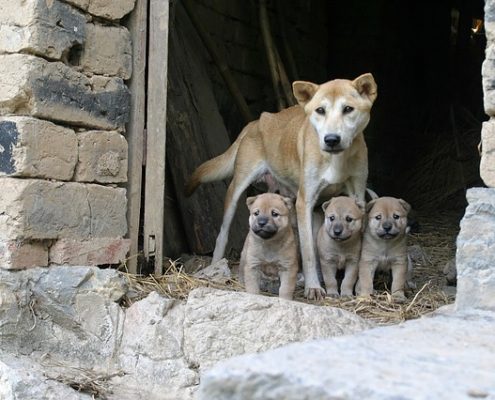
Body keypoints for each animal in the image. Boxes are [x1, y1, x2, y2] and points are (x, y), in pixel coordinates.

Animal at [188, 74, 378, 300]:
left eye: (348, 109)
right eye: (320, 110)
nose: (331, 139)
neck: (336, 160)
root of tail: (255, 122)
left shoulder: (356, 194)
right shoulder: (305, 201)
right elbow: (308, 252)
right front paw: (313, 287)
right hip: (236, 190)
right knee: (222, 233)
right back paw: (216, 265)